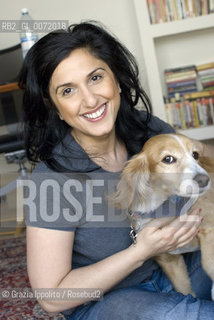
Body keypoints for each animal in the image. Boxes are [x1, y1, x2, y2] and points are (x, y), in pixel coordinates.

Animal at [112, 134, 214, 298]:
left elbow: (209, 264)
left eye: (195, 155)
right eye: (168, 159)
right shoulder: (169, 261)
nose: (204, 180)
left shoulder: (210, 229)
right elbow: (184, 290)